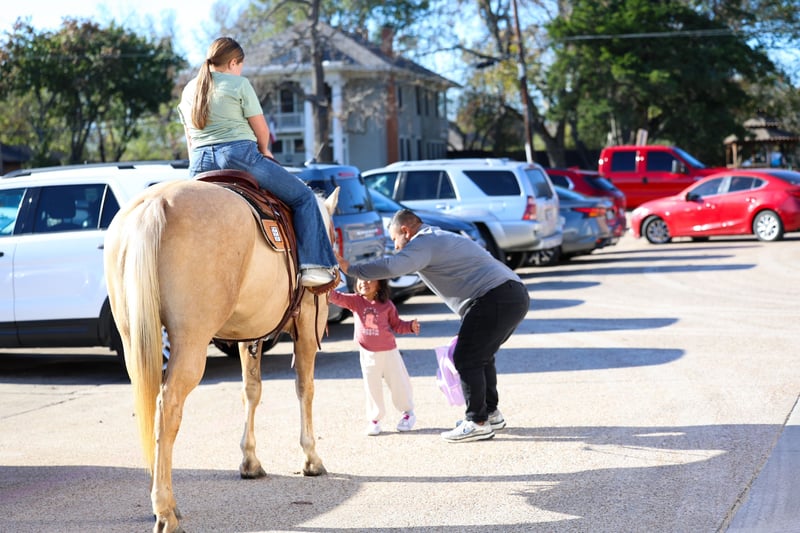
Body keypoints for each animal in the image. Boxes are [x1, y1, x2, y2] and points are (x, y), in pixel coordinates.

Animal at [103, 175, 338, 533]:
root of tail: (155, 205)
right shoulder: (308, 327)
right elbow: (305, 388)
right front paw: (311, 458)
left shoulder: (249, 335)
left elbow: (251, 391)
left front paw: (250, 461)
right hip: (191, 341)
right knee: (167, 408)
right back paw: (165, 511)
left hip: (134, 339)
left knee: (149, 403)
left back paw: (162, 501)